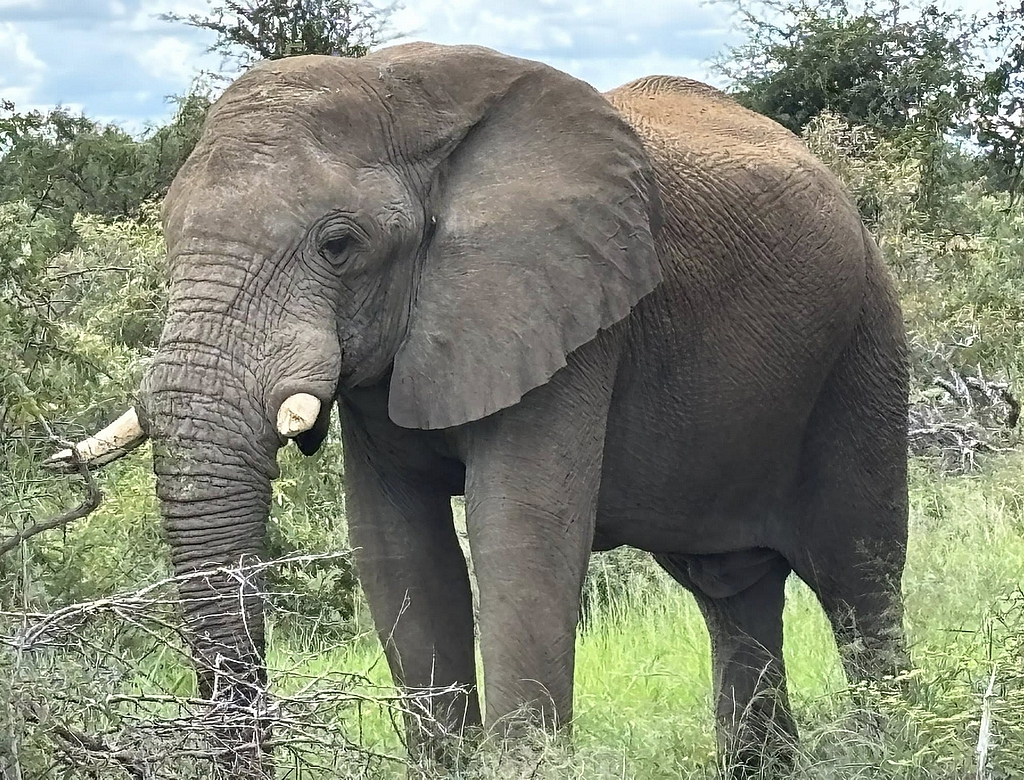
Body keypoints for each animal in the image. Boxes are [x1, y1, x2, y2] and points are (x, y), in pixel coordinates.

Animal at [55, 42, 909, 776]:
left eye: (339, 245)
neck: (404, 104)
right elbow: (399, 551)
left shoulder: (568, 314)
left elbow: (520, 541)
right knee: (733, 593)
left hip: (864, 346)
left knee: (859, 578)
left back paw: (894, 745)